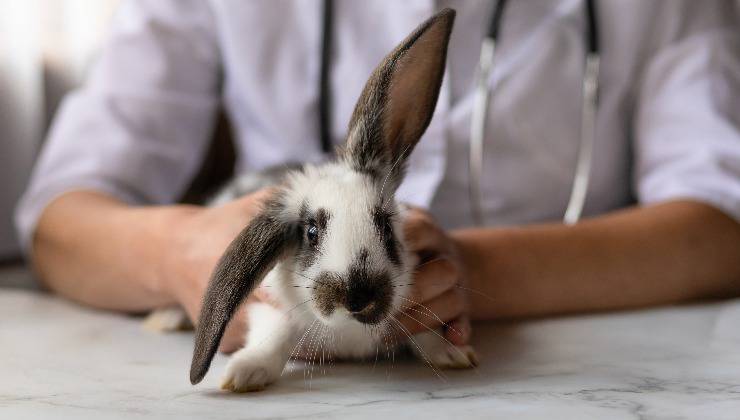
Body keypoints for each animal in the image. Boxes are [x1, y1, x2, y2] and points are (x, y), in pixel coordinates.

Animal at [189, 8, 480, 392]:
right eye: (311, 233)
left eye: (386, 228)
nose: (357, 298)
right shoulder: (270, 306)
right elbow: (276, 333)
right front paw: (244, 373)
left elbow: (426, 330)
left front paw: (453, 353)